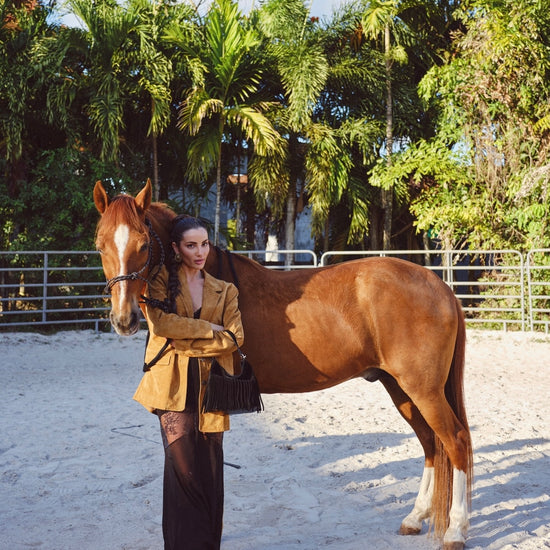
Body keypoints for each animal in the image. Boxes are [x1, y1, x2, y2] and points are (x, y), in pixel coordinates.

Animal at [95, 181, 474, 550]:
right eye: (100, 245)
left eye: (144, 244)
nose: (124, 319)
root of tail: (440, 286)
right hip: (399, 387)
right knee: (430, 443)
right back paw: (414, 518)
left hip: (423, 389)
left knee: (455, 440)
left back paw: (455, 531)